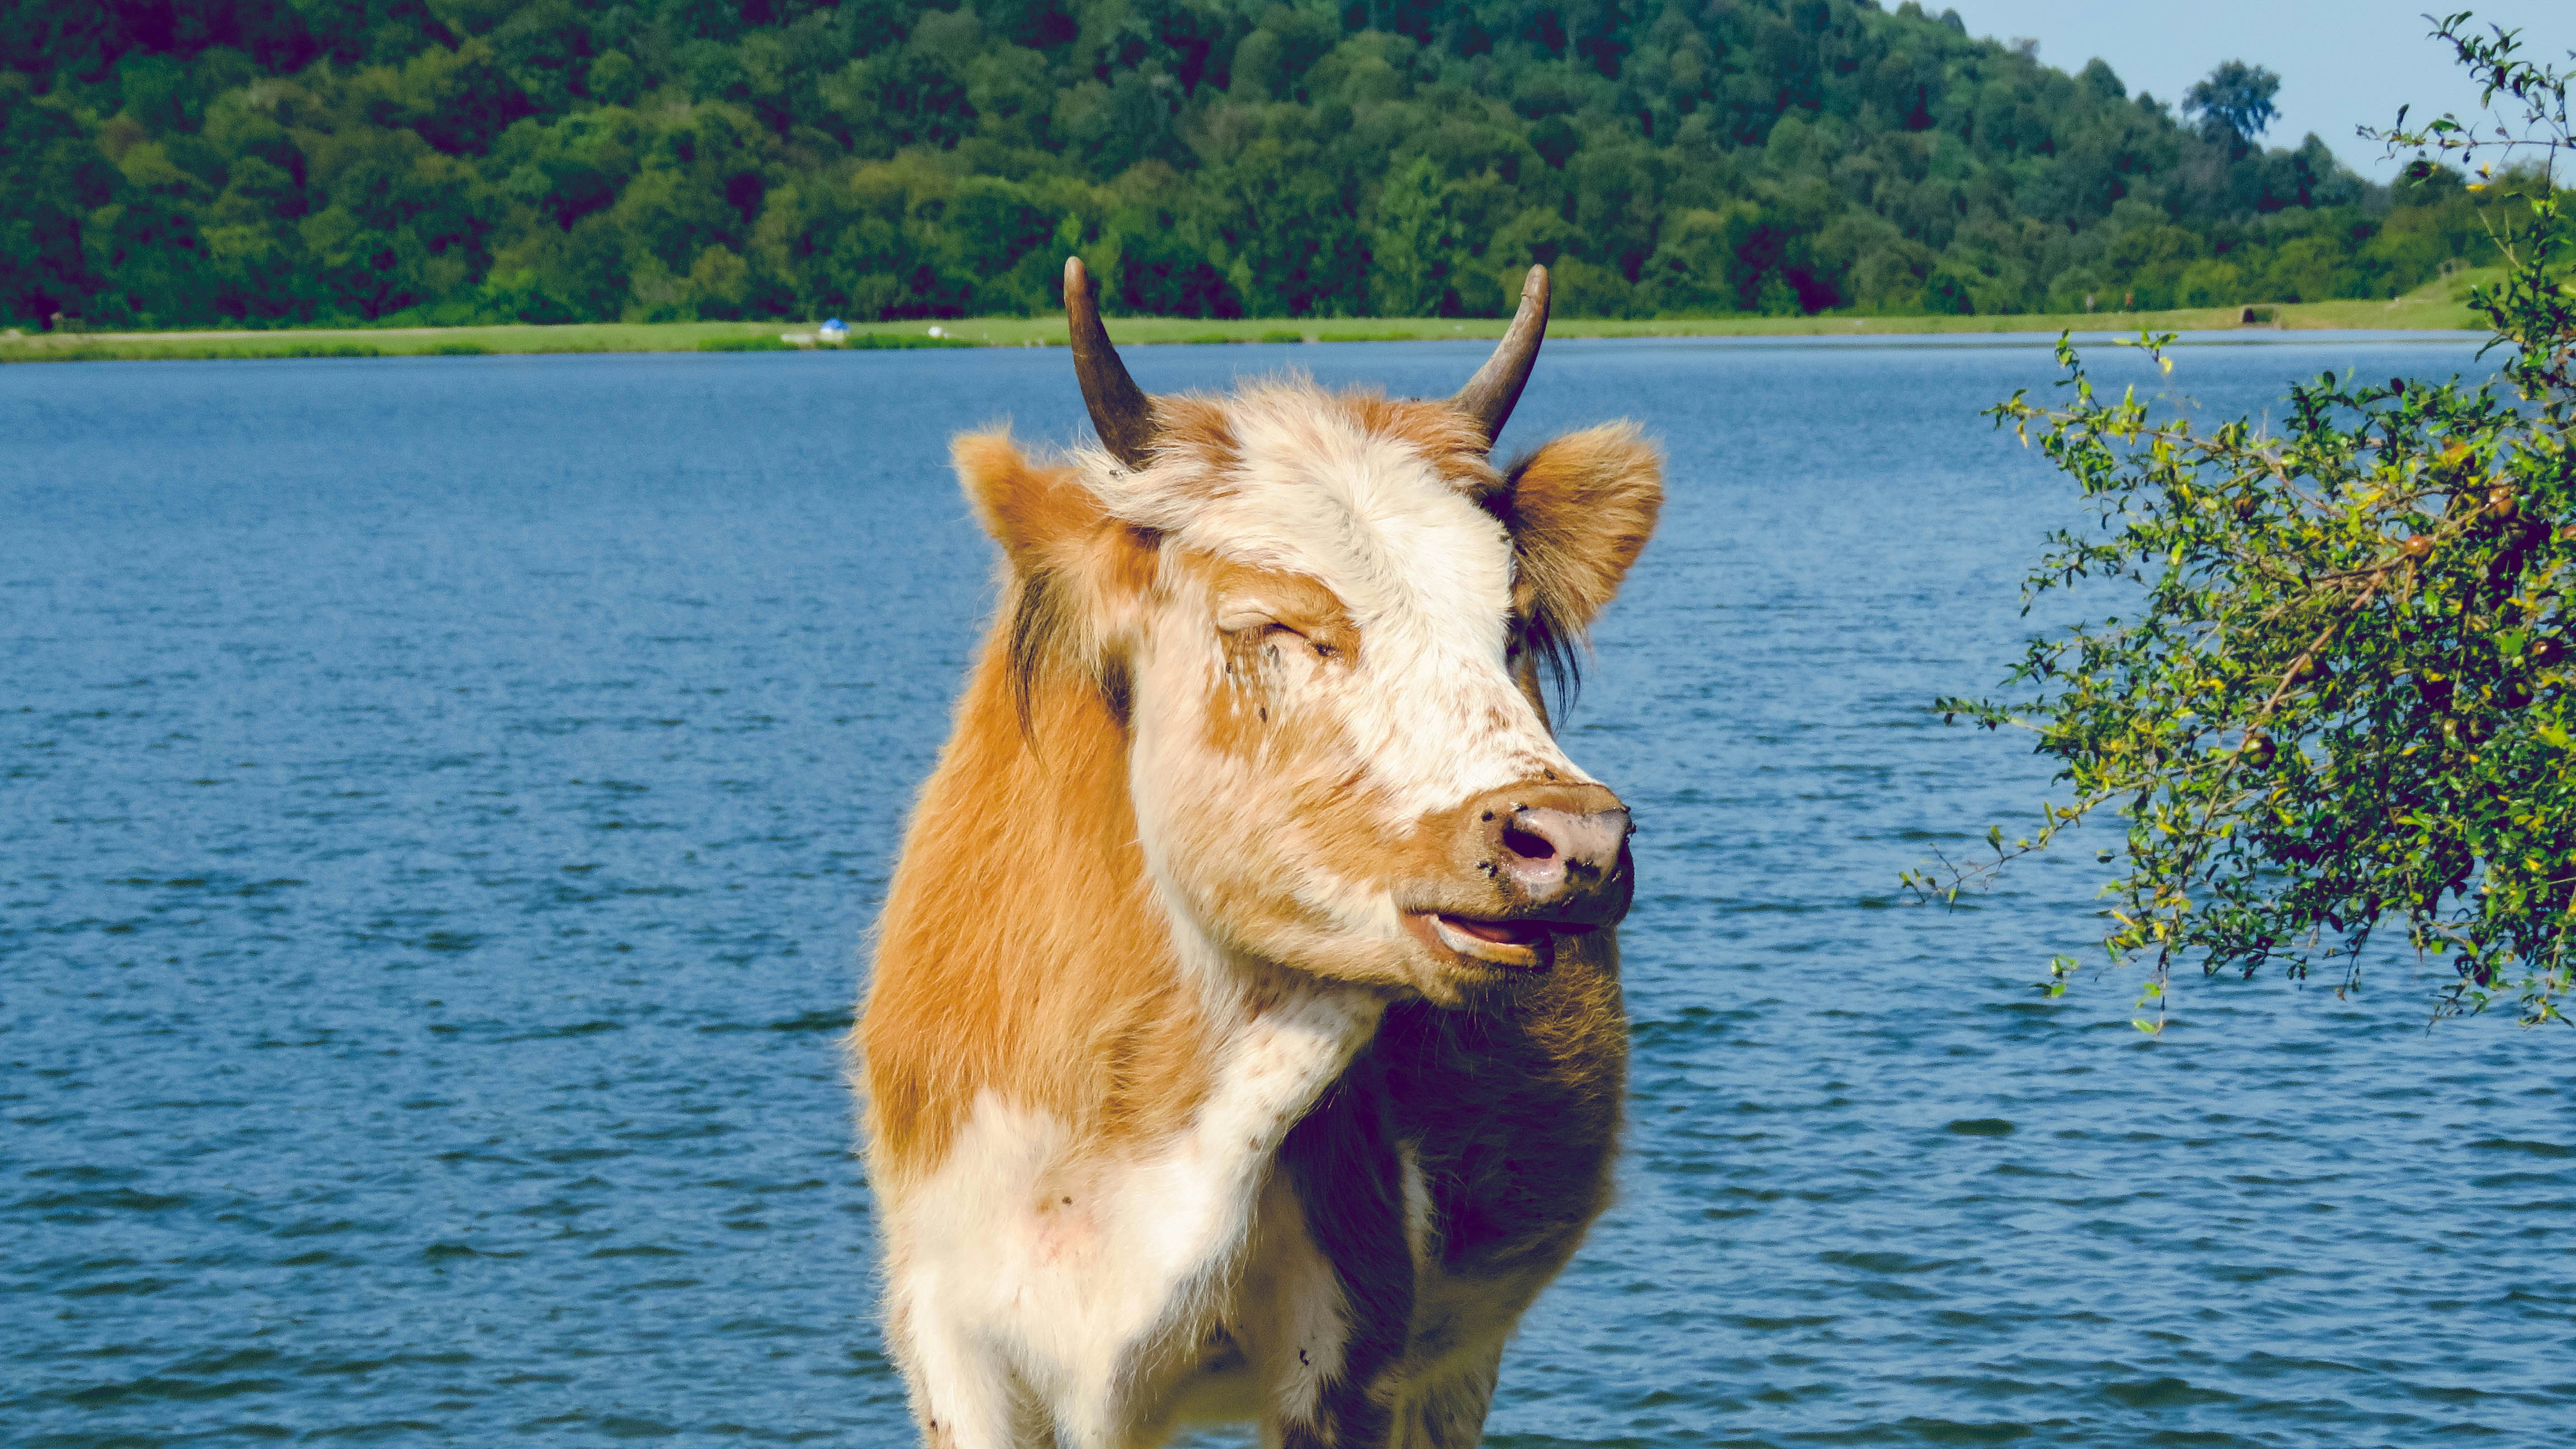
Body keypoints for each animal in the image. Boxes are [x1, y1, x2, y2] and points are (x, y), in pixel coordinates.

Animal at [854, 257, 1662, 1449]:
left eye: (1512, 627)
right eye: (1271, 625)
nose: (1574, 838)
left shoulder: (1352, 1340)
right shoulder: (950, 1336)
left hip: (1457, 1361)